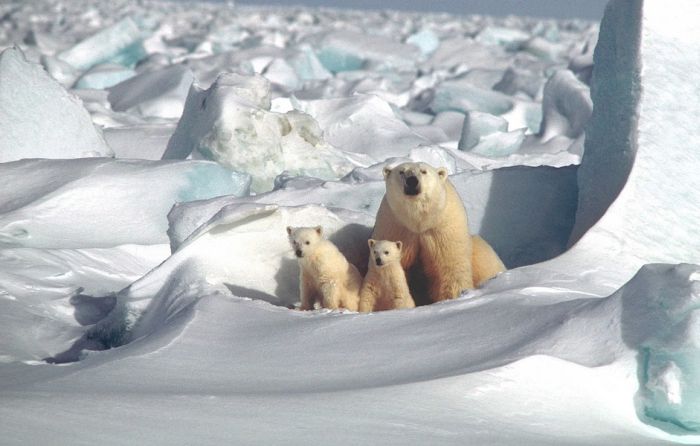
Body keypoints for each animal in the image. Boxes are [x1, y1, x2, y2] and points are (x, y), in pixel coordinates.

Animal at [374, 162, 506, 304]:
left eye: (424, 171)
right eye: (401, 171)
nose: (412, 181)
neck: (419, 222)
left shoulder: (442, 228)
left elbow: (450, 266)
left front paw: (453, 297)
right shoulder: (396, 227)